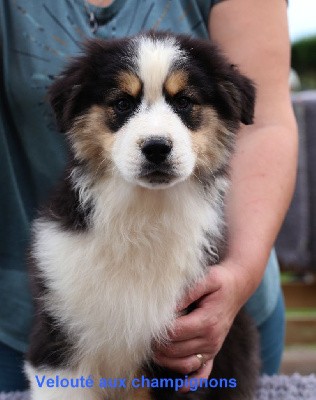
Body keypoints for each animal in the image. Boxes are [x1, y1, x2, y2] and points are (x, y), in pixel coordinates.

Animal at [25, 32, 260, 400]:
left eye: (184, 102)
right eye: (122, 103)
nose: (156, 147)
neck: (144, 212)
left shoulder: (178, 356)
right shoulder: (58, 335)